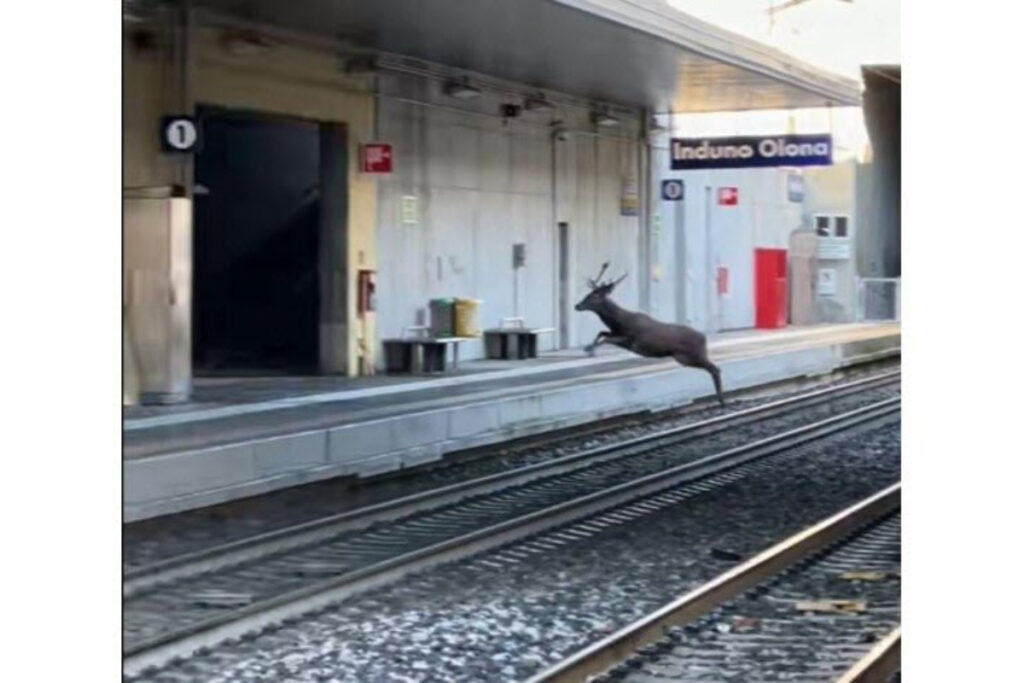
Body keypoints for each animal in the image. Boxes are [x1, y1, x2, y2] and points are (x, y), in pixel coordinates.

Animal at [575, 262, 725, 408]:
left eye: (595, 296)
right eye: (588, 293)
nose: (577, 305)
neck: (620, 322)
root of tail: (704, 338)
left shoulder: (631, 340)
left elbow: (606, 338)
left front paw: (589, 350)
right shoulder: (617, 333)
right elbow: (601, 333)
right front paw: (588, 349)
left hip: (692, 355)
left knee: (715, 369)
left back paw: (721, 401)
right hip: (686, 357)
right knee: (713, 369)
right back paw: (720, 400)